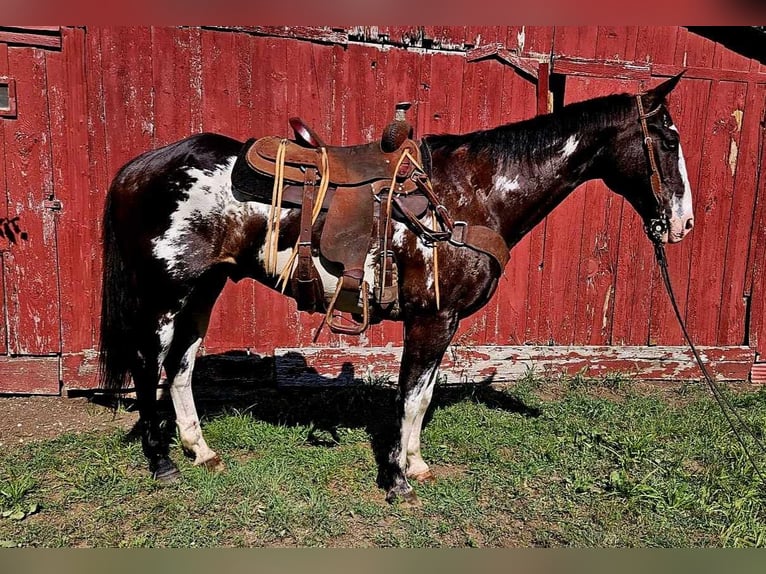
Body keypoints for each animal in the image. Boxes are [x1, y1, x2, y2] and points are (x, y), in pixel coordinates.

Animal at [97, 74, 696, 506]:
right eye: (669, 139)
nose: (683, 224)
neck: (470, 195)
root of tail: (137, 168)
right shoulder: (431, 318)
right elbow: (410, 395)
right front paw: (398, 480)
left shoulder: (441, 322)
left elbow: (422, 396)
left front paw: (415, 465)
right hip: (165, 294)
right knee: (150, 366)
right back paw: (163, 463)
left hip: (205, 287)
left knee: (181, 365)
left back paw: (200, 451)